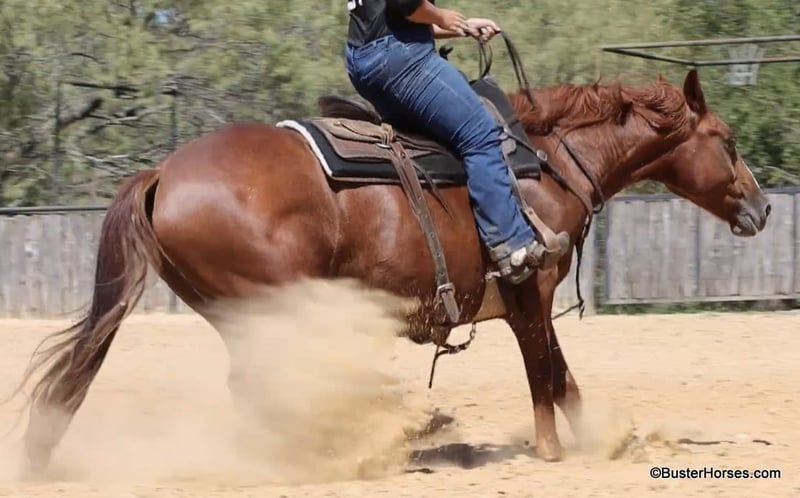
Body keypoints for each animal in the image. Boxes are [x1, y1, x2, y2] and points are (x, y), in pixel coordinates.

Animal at [15, 67, 770, 473]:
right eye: (729, 142)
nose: (762, 208)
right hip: (272, 304)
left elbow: (562, 377)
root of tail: (164, 174)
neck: (546, 162)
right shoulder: (529, 289)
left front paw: (603, 443)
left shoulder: (532, 301)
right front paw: (556, 453)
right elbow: (544, 374)